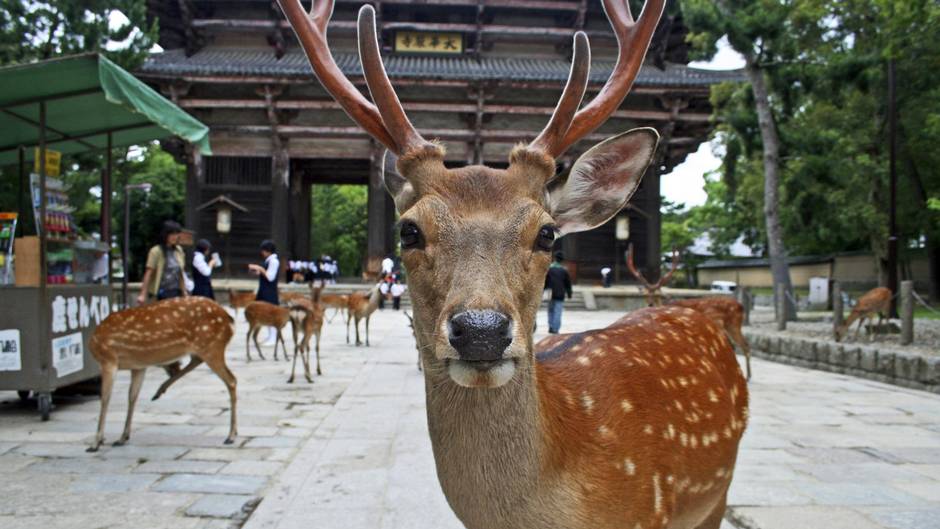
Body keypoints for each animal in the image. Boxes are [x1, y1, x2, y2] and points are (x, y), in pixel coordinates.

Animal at [87, 297, 237, 452]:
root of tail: (229, 319)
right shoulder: (138, 366)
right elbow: (132, 396)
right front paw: (122, 437)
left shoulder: (108, 359)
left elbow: (105, 398)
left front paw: (96, 443)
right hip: (205, 348)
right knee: (197, 361)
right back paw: (159, 391)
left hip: (212, 346)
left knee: (231, 380)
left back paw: (231, 436)